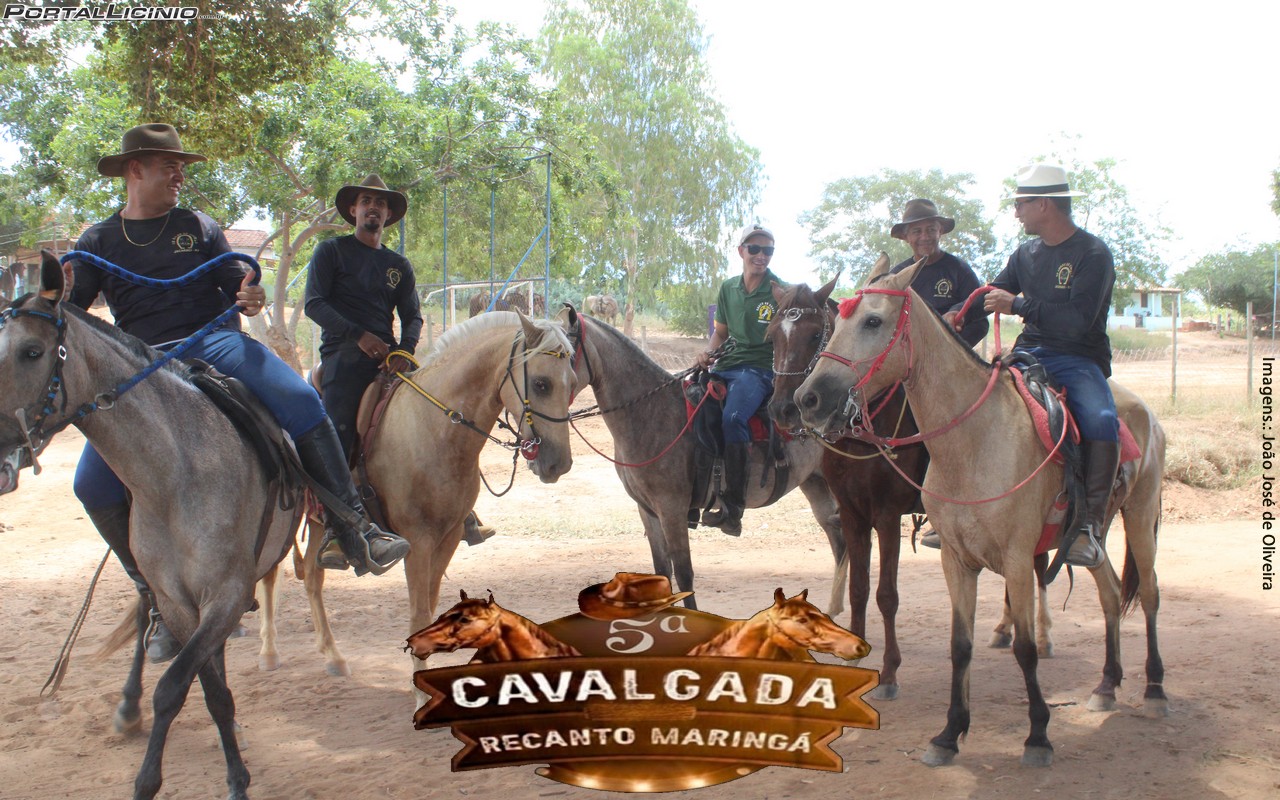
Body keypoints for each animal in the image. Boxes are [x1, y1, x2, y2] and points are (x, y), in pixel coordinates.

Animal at [0, 252, 302, 799]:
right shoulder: (180, 602)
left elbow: (181, 688)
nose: (1, 462)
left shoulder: (224, 595)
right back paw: (128, 704)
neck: (176, 471)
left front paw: (185, 779)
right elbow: (207, 688)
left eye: (32, 351)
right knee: (144, 612)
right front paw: (230, 774)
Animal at [562, 305, 848, 615]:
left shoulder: (672, 509)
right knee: (839, 541)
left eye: (563, 352)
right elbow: (661, 571)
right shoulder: (648, 510)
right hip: (815, 484)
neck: (651, 412)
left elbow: (684, 572)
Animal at [765, 278, 1055, 701]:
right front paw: (854, 657)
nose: (789, 407)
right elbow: (858, 589)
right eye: (772, 336)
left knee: (1037, 562)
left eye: (817, 333)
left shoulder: (886, 515)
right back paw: (1004, 628)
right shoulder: (852, 513)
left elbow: (886, 595)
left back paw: (1043, 634)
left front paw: (889, 674)